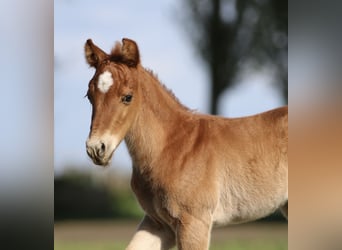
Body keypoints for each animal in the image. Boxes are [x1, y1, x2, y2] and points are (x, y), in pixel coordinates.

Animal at [84, 38, 288, 249]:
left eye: (127, 97)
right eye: (89, 96)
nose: (96, 148)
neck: (169, 148)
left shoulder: (194, 221)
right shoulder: (158, 223)